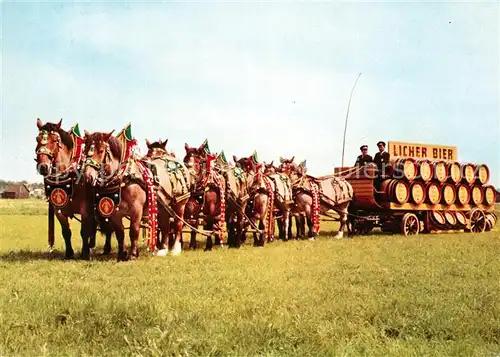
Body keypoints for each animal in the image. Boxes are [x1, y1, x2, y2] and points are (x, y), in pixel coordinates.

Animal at [35, 118, 111, 258]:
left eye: (55, 140)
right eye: (37, 138)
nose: (43, 167)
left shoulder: (85, 209)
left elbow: (84, 232)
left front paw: (85, 253)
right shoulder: (59, 210)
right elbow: (66, 231)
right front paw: (69, 253)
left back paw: (105, 248)